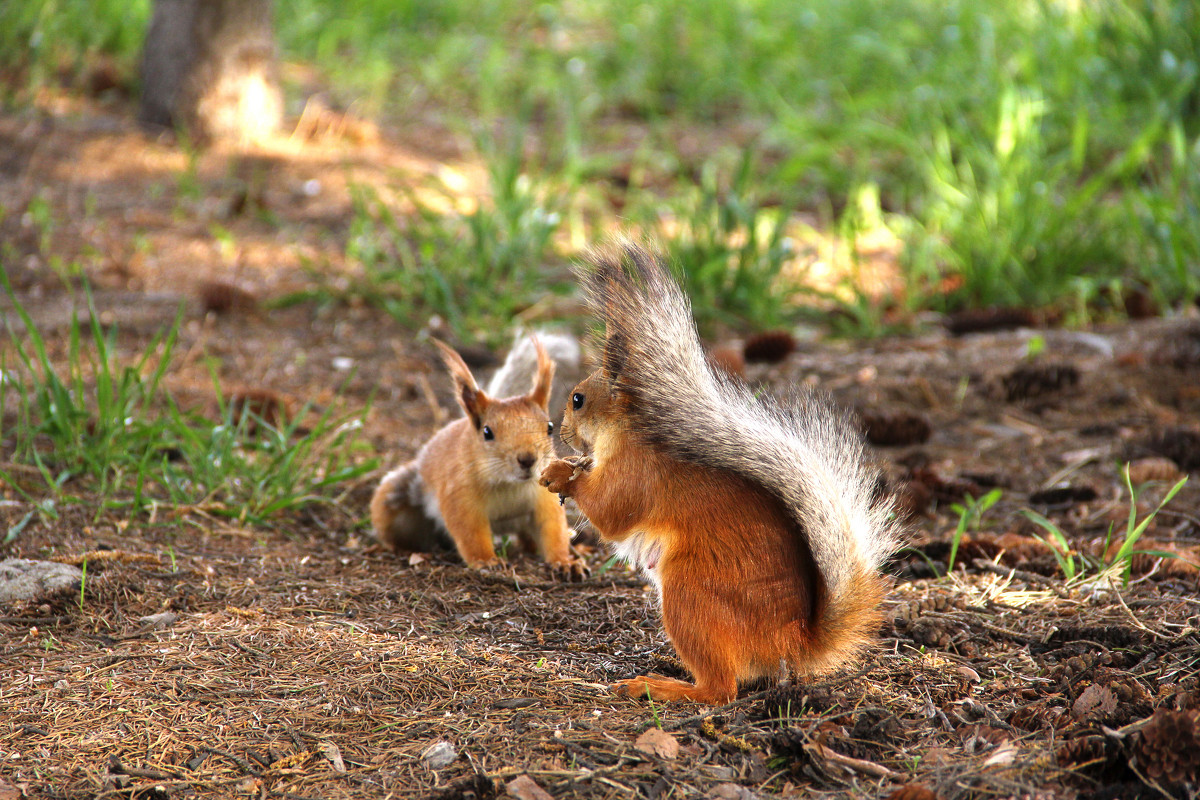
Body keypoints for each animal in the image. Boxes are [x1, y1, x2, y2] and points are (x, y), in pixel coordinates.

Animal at [372, 338, 583, 575]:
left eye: (550, 427)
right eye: (487, 432)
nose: (527, 459)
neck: (509, 484)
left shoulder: (544, 498)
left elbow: (552, 530)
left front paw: (566, 562)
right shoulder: (460, 496)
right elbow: (471, 534)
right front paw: (487, 561)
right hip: (396, 500)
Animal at [537, 242, 902, 700]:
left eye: (578, 399)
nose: (560, 431)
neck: (626, 433)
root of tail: (793, 641)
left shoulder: (637, 474)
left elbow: (611, 512)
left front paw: (559, 474)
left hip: (691, 593)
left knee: (720, 689)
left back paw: (662, 686)